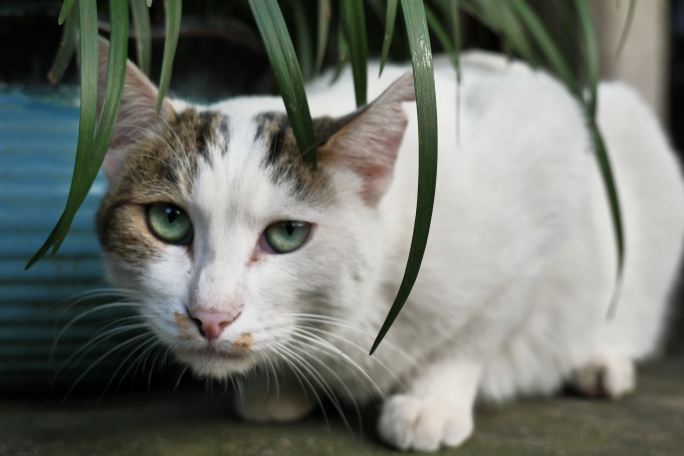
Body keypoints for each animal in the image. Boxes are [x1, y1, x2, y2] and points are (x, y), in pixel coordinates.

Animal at [93, 39, 680, 452]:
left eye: (287, 234)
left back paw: (600, 361)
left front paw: (431, 402)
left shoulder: (550, 161)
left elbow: (482, 329)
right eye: (169, 221)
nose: (210, 317)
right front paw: (276, 389)